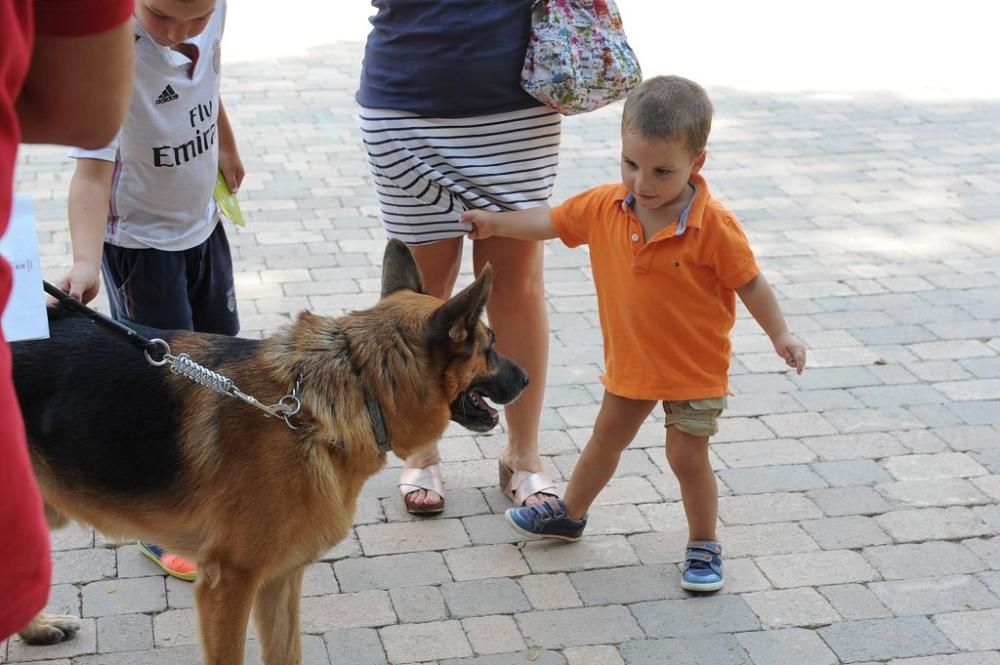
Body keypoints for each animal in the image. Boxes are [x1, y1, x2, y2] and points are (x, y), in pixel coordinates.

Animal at [11, 240, 528, 664]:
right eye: (491, 346)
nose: (526, 378)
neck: (349, 390)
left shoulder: (280, 579)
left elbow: (287, 652)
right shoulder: (229, 584)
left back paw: (36, 629)